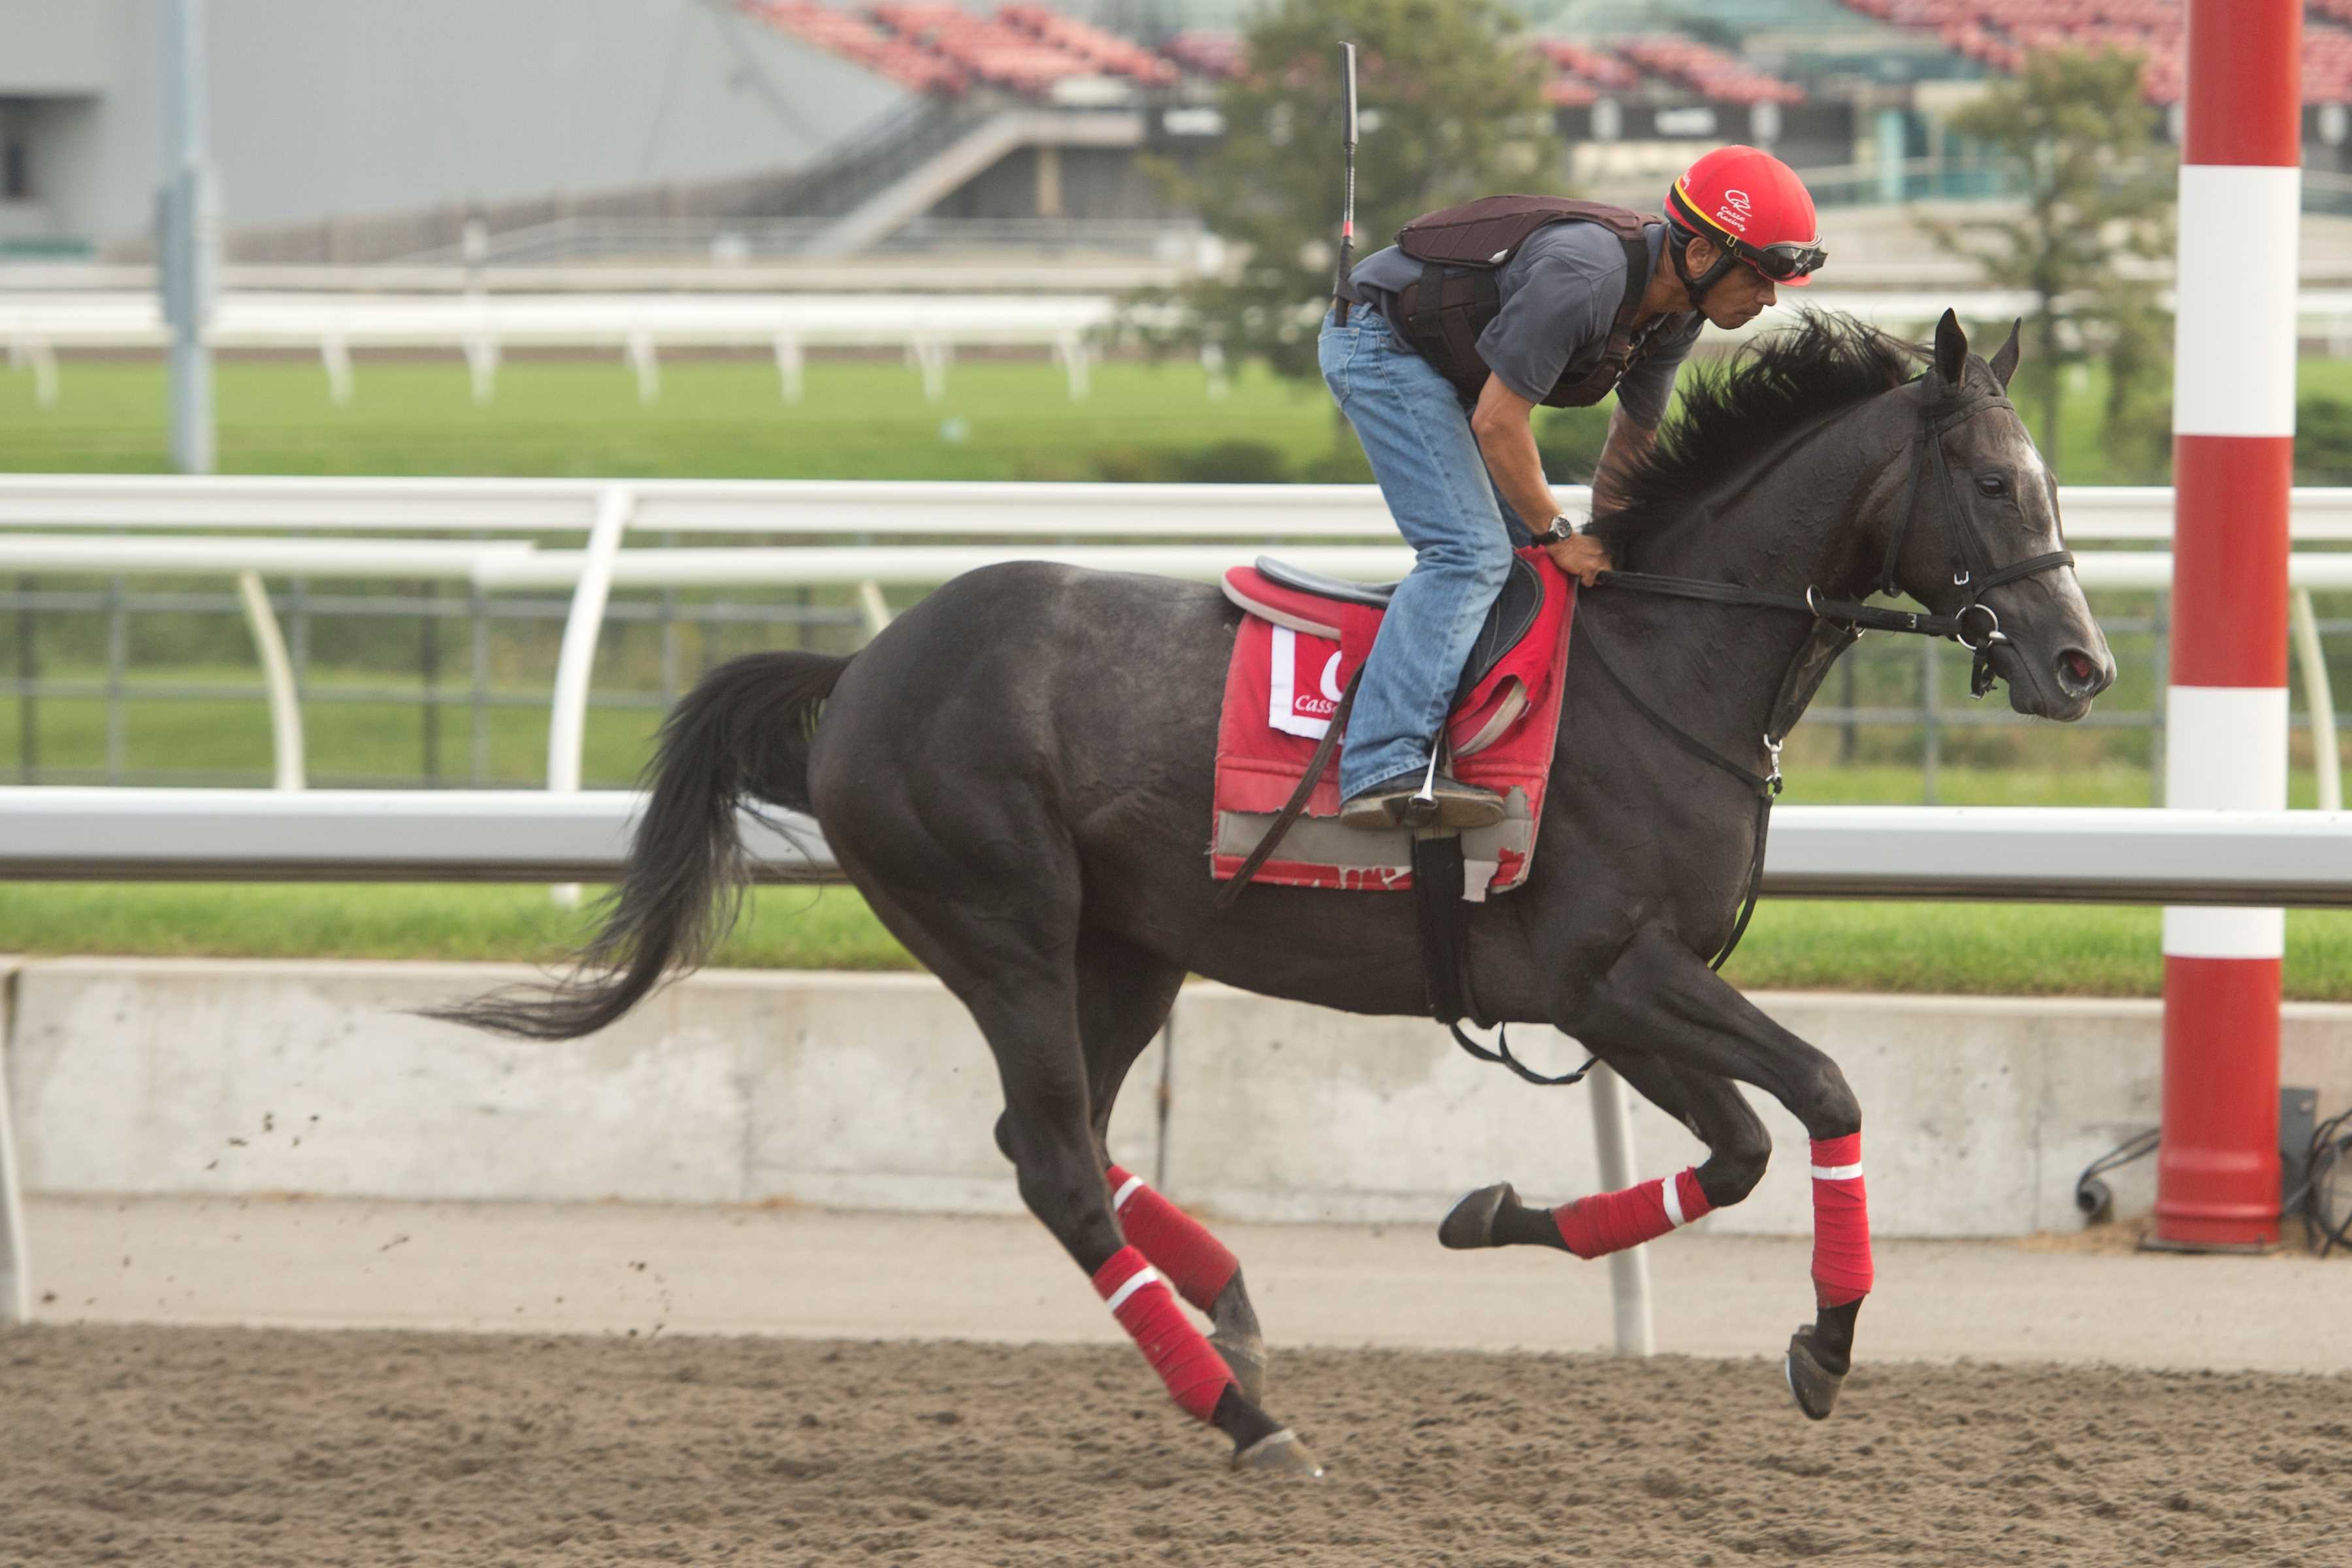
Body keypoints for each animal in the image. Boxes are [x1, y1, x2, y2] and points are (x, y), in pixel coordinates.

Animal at [433, 310, 2126, 1486]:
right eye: (1995, 480)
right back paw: (1242, 1415)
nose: (2080, 664)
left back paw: (1232, 1304)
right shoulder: (1612, 969)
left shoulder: (1604, 995)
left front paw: (1493, 1210)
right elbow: (1827, 1092)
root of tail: (861, 667)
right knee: (1058, 1159)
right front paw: (1828, 1340)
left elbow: (1738, 1151)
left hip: (1127, 950)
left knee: (1056, 1139)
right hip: (1001, 926)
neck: (1665, 663)